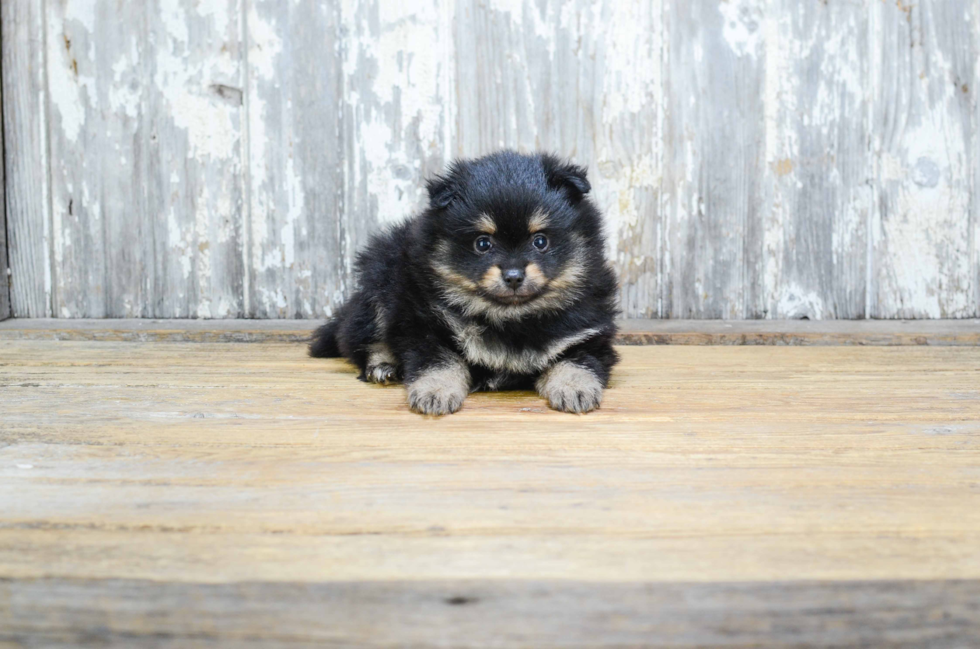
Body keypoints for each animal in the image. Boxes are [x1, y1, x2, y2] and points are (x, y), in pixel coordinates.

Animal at [312, 151, 620, 416]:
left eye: (540, 241)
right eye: (482, 243)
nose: (513, 275)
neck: (511, 319)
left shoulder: (587, 334)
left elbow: (576, 360)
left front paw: (573, 387)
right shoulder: (426, 327)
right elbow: (440, 360)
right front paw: (435, 391)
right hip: (381, 280)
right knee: (358, 338)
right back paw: (383, 365)